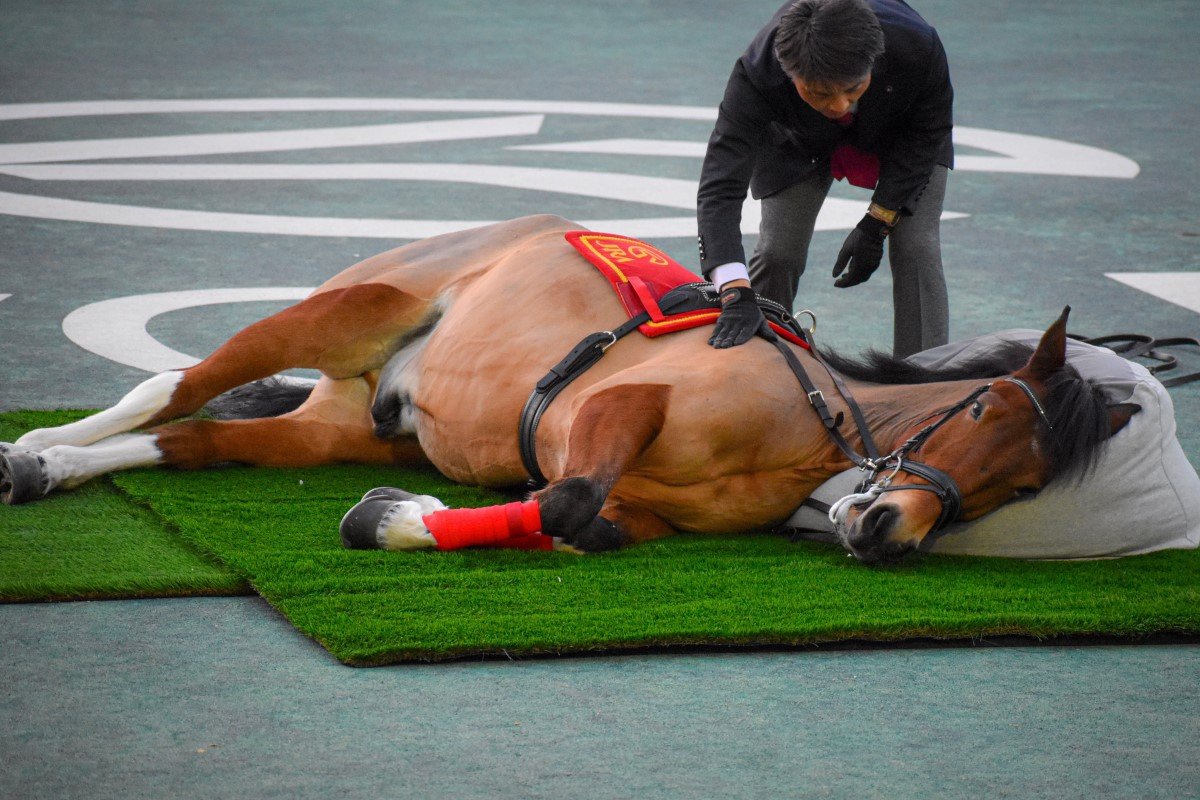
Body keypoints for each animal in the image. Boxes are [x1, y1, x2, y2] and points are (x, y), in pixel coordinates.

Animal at [0, 212, 1132, 563]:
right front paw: (389, 521)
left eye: (1024, 485)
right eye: (982, 407)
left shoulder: (646, 515)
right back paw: (32, 451)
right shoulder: (611, 408)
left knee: (194, 439)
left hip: (346, 424)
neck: (803, 421)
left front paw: (394, 511)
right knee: (174, 383)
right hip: (349, 307)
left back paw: (53, 467)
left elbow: (582, 523)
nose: (888, 530)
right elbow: (570, 496)